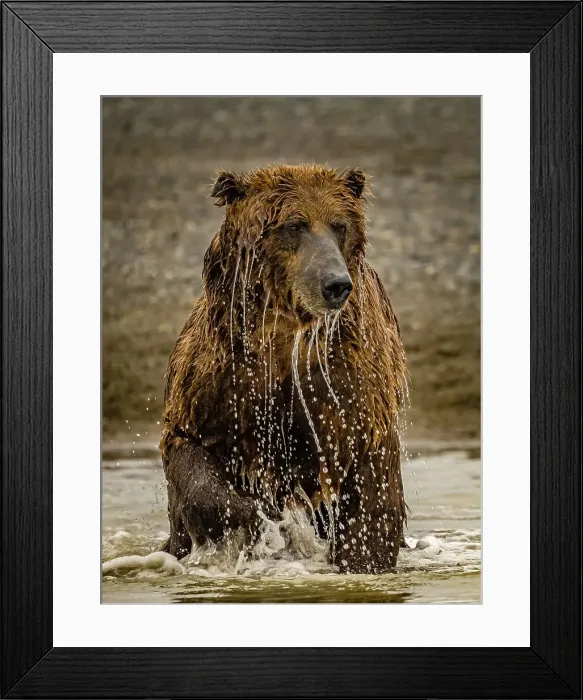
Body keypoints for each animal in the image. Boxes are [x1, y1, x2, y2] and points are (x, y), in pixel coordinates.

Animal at [160, 164, 408, 574]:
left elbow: (370, 485)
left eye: (339, 225)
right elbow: (189, 452)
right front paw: (250, 517)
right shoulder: (215, 380)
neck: (286, 336)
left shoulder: (347, 386)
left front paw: (362, 560)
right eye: (295, 225)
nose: (335, 284)